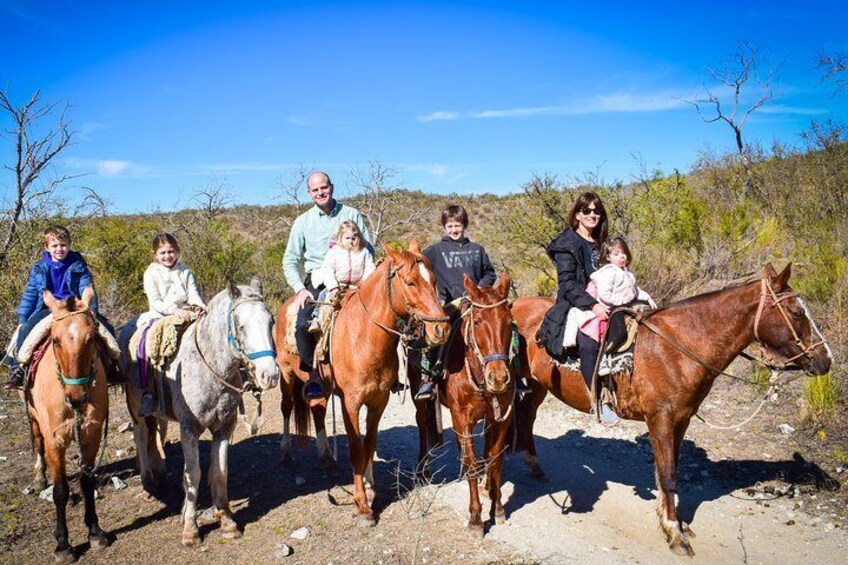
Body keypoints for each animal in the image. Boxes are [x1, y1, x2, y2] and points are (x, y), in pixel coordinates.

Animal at [26, 288, 111, 560]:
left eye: (91, 338)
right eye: (55, 340)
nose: (77, 397)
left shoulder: (91, 433)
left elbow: (87, 481)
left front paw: (95, 532)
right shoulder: (55, 440)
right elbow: (60, 491)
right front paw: (63, 543)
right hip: (33, 419)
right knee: (38, 445)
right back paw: (39, 477)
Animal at [276, 239, 450, 524]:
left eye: (434, 280)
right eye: (411, 282)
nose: (441, 329)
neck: (366, 337)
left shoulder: (378, 401)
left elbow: (370, 443)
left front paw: (369, 485)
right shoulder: (351, 403)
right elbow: (356, 448)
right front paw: (362, 505)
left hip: (322, 387)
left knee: (318, 411)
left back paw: (327, 458)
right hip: (287, 375)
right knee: (287, 407)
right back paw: (286, 453)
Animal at [410, 272, 516, 536]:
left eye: (509, 321)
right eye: (477, 322)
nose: (498, 378)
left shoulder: (500, 418)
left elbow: (495, 461)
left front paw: (497, 508)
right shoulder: (461, 416)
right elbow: (472, 464)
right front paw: (476, 518)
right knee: (422, 424)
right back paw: (423, 469)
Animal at [512, 264, 832, 556]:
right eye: (796, 312)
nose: (826, 359)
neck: (679, 346)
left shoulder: (682, 419)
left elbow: (672, 470)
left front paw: (677, 523)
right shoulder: (661, 419)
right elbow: (666, 474)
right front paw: (674, 533)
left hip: (538, 385)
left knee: (526, 416)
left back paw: (534, 466)